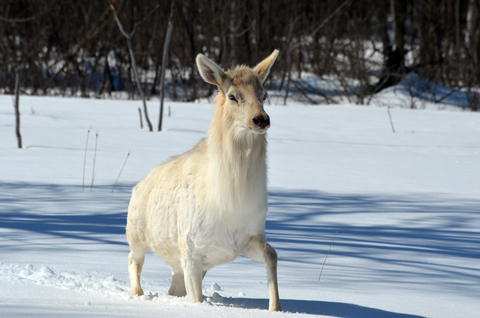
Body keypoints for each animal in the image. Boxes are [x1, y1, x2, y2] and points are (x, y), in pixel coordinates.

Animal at [125, 49, 282, 310]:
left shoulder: (247, 238)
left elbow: (272, 254)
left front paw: (276, 307)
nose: (261, 119)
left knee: (174, 284)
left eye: (265, 94)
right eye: (232, 96)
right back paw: (137, 293)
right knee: (133, 259)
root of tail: (138, 185)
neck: (232, 201)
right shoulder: (190, 247)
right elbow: (196, 300)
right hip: (135, 233)